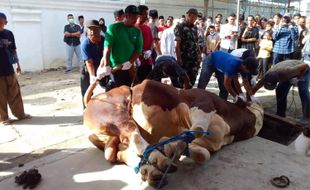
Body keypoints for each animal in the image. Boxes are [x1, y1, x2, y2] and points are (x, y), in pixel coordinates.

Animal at [83, 79, 262, 186]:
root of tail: (92, 99)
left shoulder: (210, 142)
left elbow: (202, 153)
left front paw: (171, 145)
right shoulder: (202, 105)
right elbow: (197, 130)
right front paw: (167, 147)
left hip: (112, 137)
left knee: (120, 152)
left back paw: (152, 172)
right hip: (117, 117)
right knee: (135, 137)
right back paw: (161, 160)